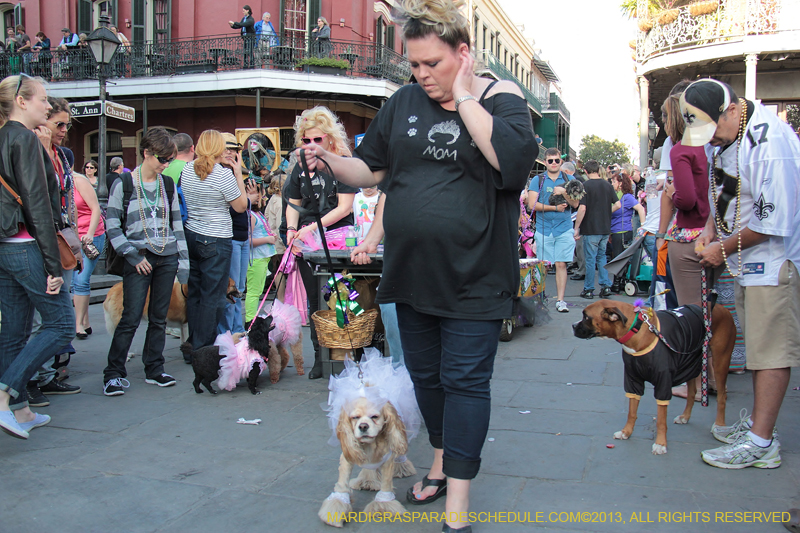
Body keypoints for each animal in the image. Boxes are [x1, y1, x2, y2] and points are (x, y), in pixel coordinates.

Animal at [572, 300, 736, 454]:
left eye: (586, 317)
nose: (573, 326)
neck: (636, 330)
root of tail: (721, 307)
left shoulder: (663, 383)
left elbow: (661, 420)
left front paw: (661, 444)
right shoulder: (633, 381)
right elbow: (632, 412)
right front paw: (626, 432)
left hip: (720, 361)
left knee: (722, 396)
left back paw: (719, 425)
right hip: (690, 361)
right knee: (691, 392)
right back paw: (685, 416)